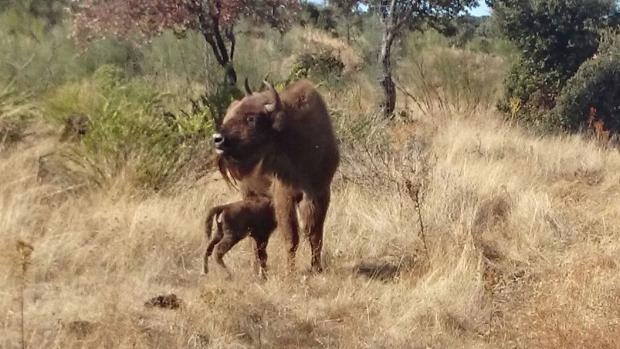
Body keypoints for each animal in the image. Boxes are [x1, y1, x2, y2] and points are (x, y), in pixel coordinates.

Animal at [213, 79, 340, 272]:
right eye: (233, 116)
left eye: (251, 118)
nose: (217, 139)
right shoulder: (285, 196)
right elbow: (292, 238)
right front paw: (290, 272)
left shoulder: (320, 193)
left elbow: (315, 234)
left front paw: (317, 268)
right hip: (248, 193)